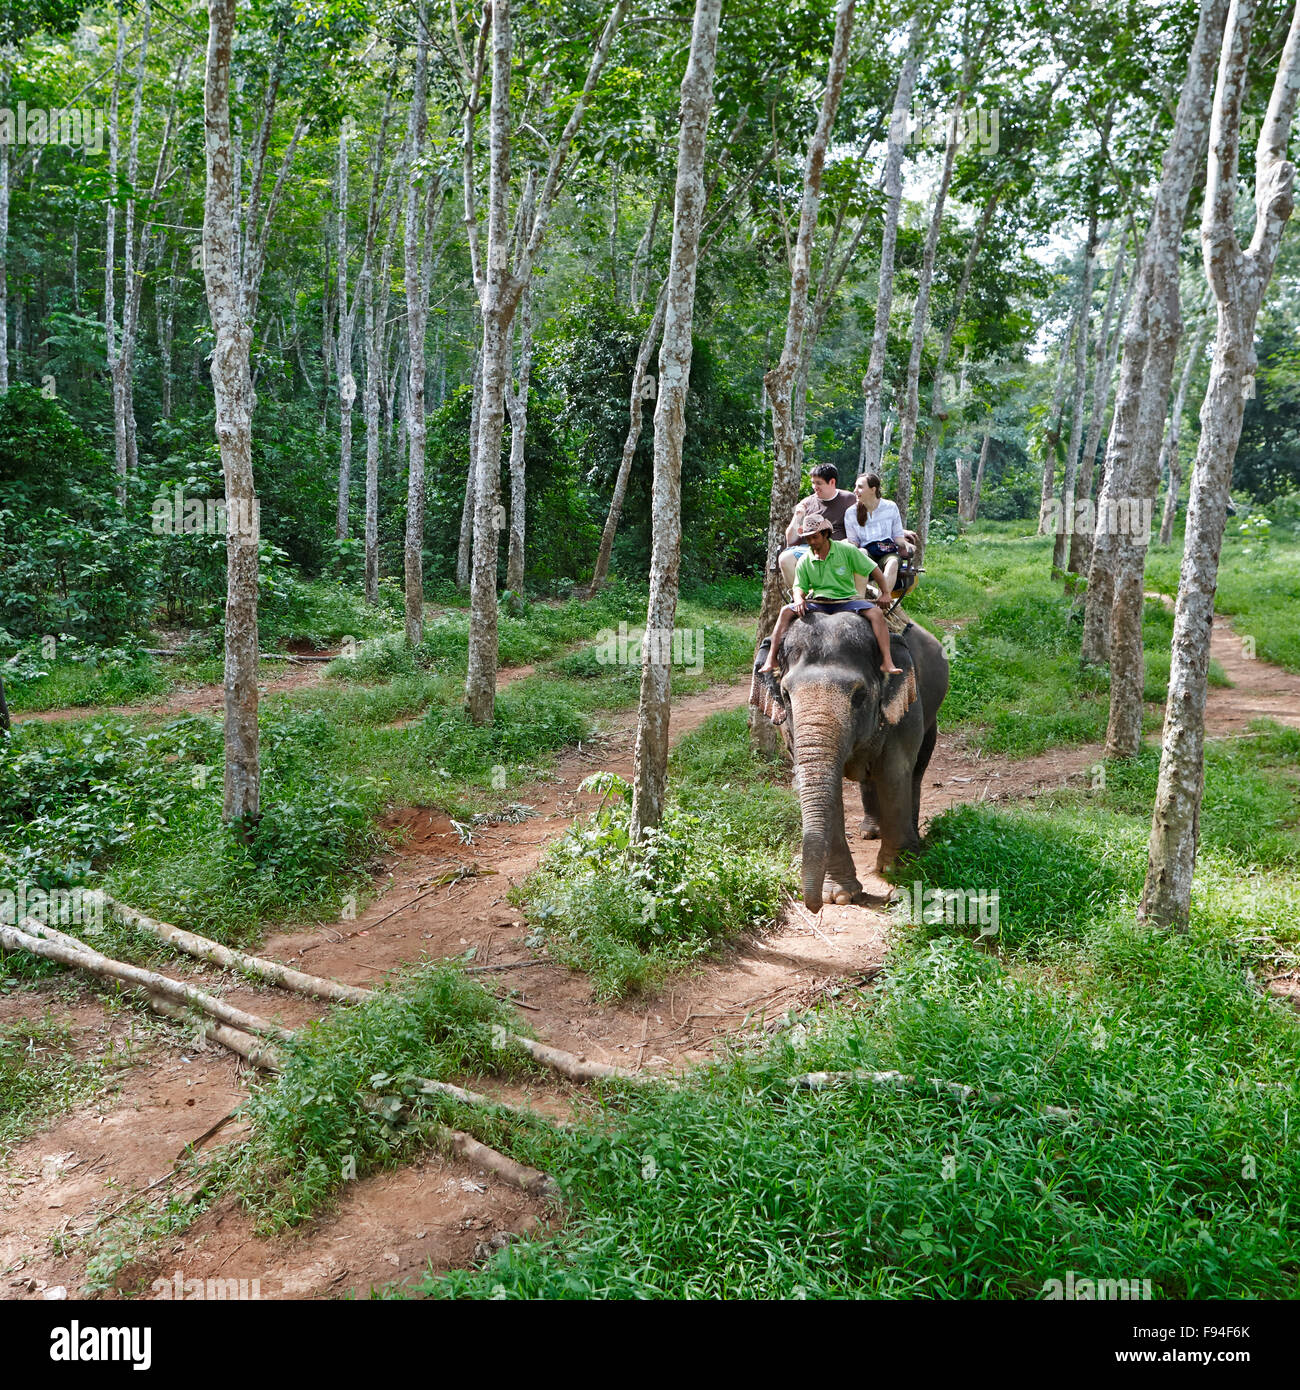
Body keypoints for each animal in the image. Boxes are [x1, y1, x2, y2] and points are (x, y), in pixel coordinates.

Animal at [756, 614, 951, 906]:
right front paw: (839, 896)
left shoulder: (905, 710)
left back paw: (912, 839)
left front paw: (898, 871)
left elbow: (894, 772)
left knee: (916, 771)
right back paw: (870, 831)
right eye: (786, 696)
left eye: (859, 696)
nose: (813, 906)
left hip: (931, 715)